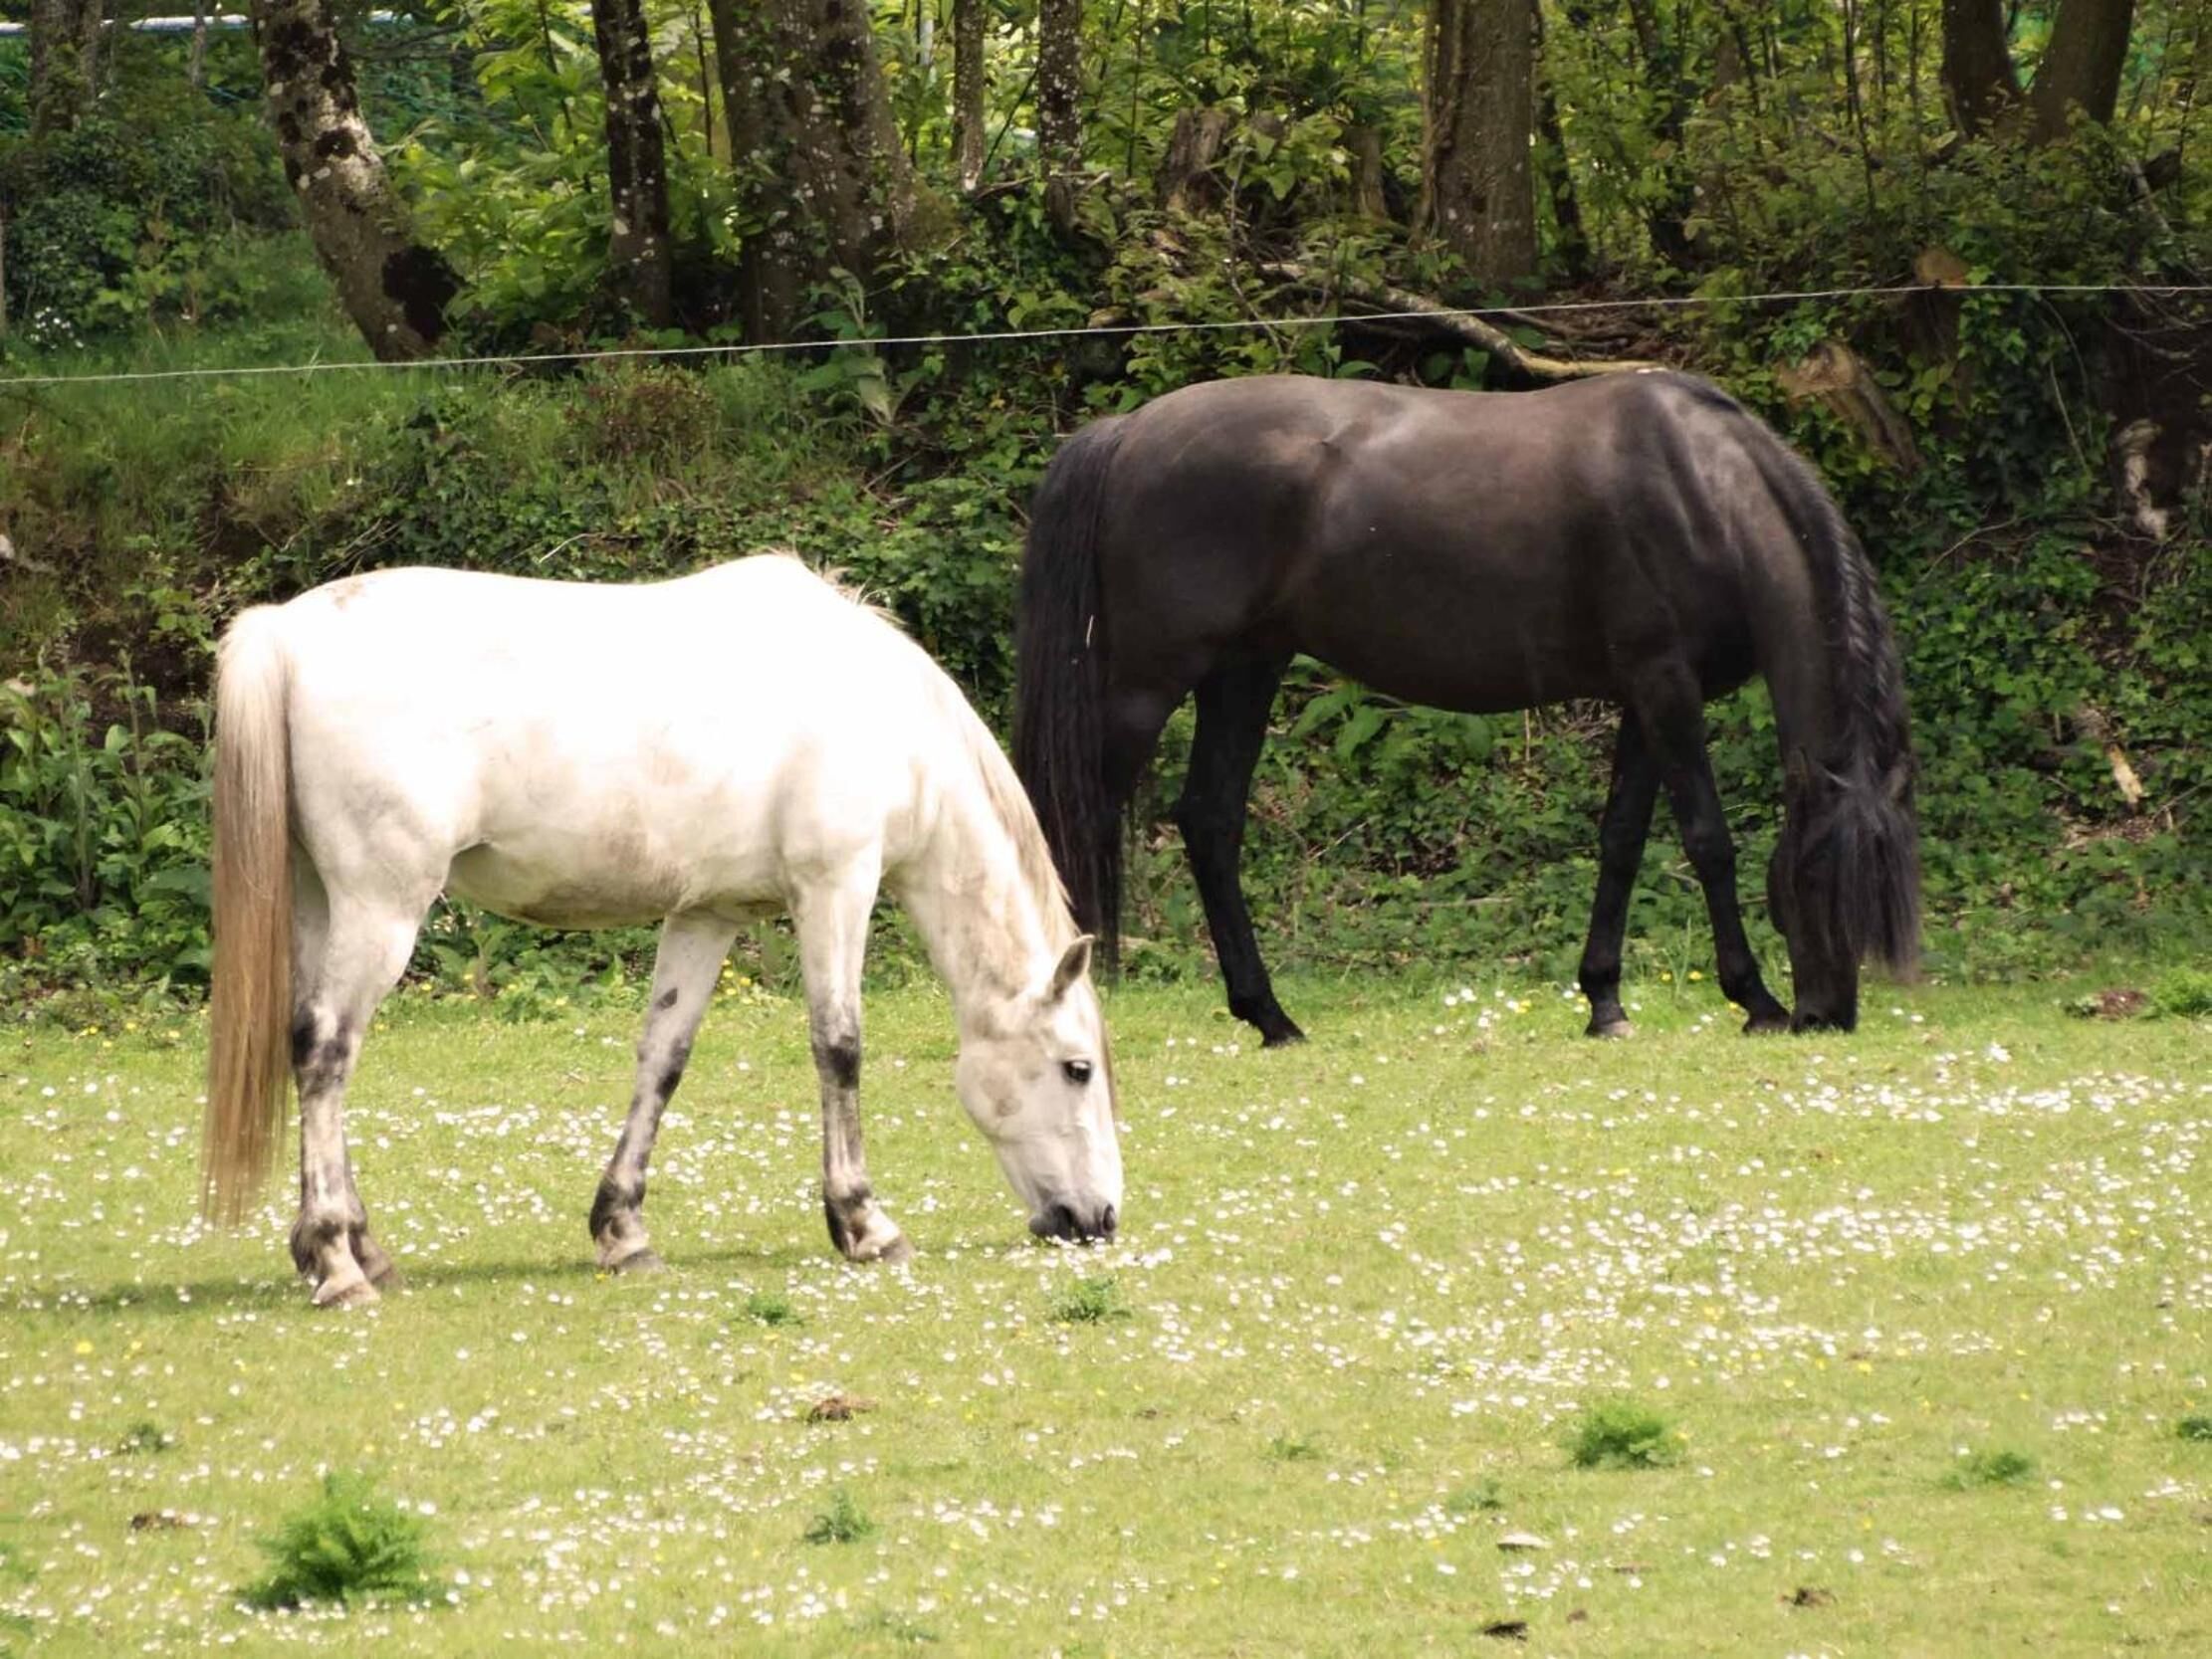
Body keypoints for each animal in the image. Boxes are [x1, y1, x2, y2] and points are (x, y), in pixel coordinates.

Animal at [203, 553, 1122, 1307]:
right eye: (1076, 1068)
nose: (1100, 1216)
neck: (885, 718)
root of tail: (286, 631)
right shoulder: (837, 887)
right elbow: (840, 1047)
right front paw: (865, 1223)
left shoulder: (706, 914)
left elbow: (663, 1060)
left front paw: (622, 1231)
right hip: (382, 907)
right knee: (325, 1050)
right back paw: (338, 1263)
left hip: (323, 903)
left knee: (311, 1047)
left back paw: (356, 1247)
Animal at [1013, 370, 1919, 1046]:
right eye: (1812, 876)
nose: (1828, 1015)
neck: (1701, 491)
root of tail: (1128, 431)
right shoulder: (1667, 687)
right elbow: (1707, 841)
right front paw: (1755, 998)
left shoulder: (1643, 694)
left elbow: (1621, 842)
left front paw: (1604, 1002)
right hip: (1147, 683)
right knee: (1056, 818)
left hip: (1244, 672)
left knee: (1209, 821)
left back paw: (1271, 1017)